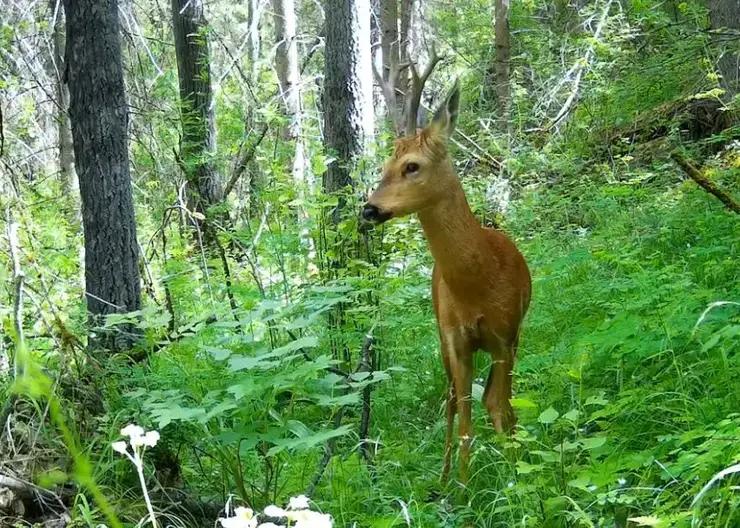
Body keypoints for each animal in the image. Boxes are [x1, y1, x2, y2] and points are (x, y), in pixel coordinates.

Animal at [360, 58, 528, 486]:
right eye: (384, 167)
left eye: (411, 166)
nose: (369, 209)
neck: (480, 282)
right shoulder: (456, 339)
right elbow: (466, 418)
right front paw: (463, 489)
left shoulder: (505, 336)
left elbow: (501, 407)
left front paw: (516, 475)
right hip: (439, 333)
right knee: (451, 400)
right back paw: (443, 478)